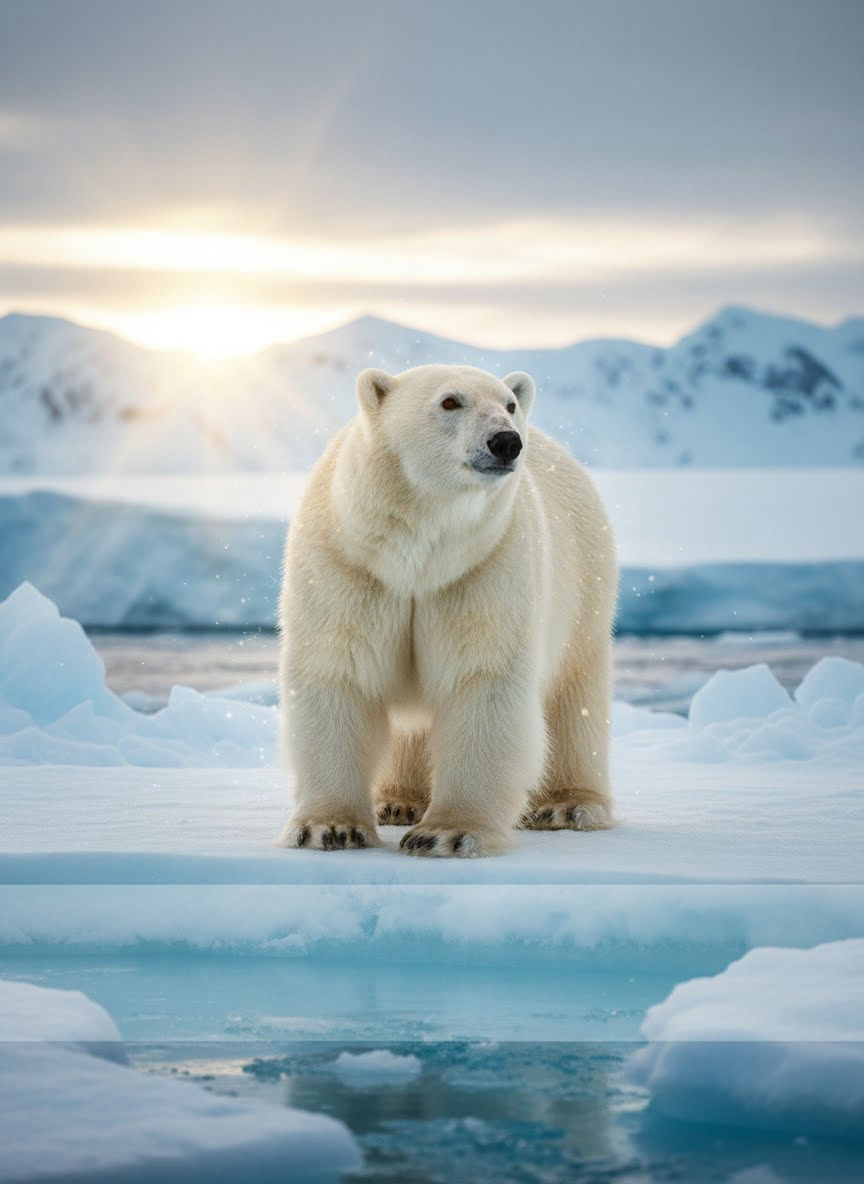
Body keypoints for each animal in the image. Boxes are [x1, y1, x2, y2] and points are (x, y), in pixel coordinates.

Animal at [277, 363, 617, 857]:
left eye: (508, 404)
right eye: (450, 401)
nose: (506, 441)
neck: (419, 551)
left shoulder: (483, 566)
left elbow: (481, 679)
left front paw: (447, 834)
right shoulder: (350, 564)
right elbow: (339, 673)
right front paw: (328, 828)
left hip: (584, 586)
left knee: (574, 697)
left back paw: (568, 806)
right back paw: (396, 802)